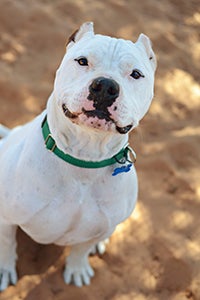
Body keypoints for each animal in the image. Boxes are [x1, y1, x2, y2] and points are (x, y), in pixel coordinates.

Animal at [0, 22, 156, 290]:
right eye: (82, 61)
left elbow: (81, 249)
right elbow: (7, 245)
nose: (106, 86)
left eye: (136, 74)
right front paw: (4, 269)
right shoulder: (6, 218)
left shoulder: (98, 227)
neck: (84, 159)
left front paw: (77, 268)